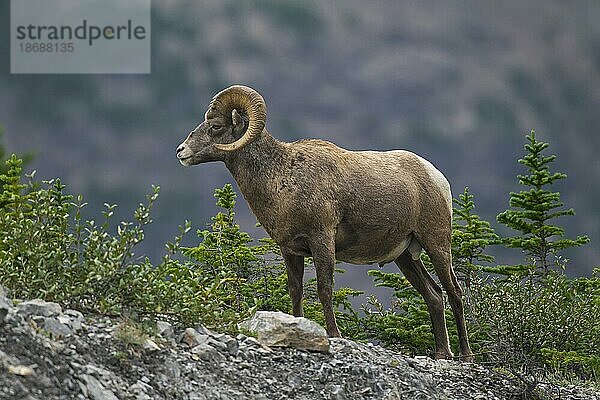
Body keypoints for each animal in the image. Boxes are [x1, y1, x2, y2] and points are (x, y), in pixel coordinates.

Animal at [177, 83, 474, 360]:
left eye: (216, 126)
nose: (181, 151)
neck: (282, 176)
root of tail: (437, 177)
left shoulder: (322, 241)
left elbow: (324, 289)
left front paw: (334, 335)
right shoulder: (290, 250)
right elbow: (295, 290)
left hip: (436, 244)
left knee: (454, 292)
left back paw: (464, 354)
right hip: (406, 257)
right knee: (433, 295)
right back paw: (441, 353)